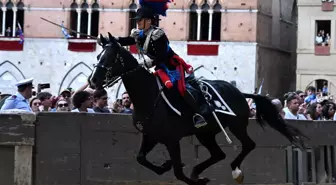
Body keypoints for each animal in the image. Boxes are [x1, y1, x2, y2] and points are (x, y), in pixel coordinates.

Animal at [87, 33, 308, 185]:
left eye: (109, 58)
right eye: (98, 56)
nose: (93, 80)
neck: (148, 96)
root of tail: (239, 92)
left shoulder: (171, 140)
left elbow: (177, 171)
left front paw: (190, 176)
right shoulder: (150, 135)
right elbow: (141, 158)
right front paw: (166, 166)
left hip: (236, 126)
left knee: (248, 145)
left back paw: (235, 171)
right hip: (206, 134)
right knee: (219, 154)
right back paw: (198, 171)